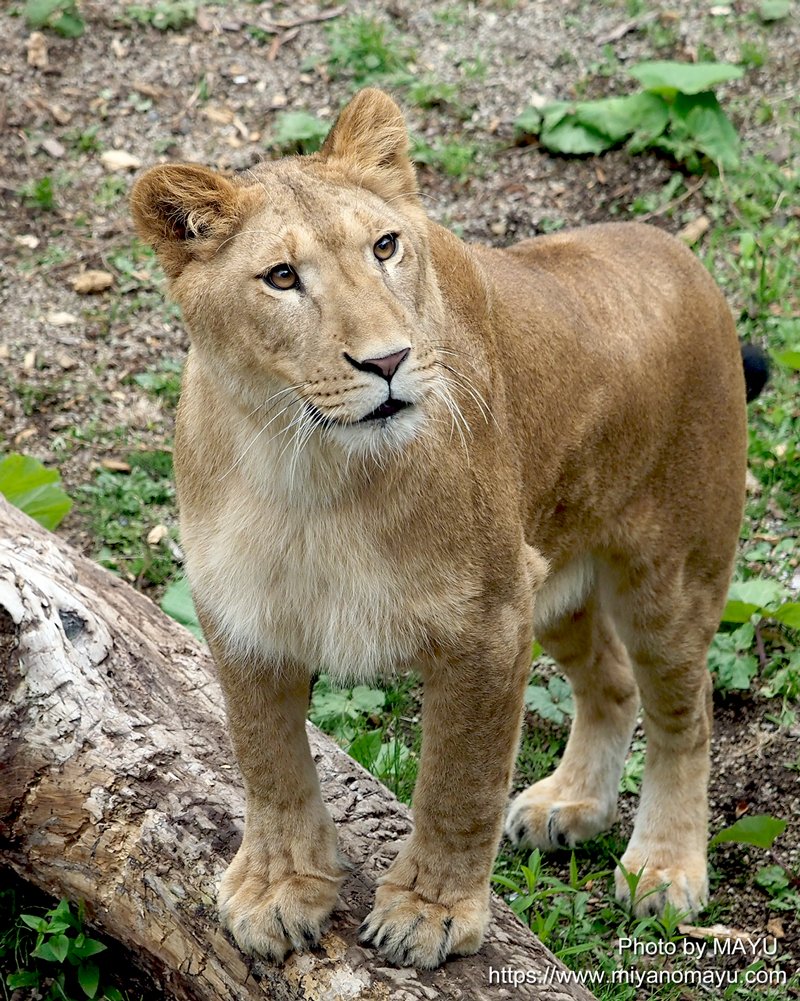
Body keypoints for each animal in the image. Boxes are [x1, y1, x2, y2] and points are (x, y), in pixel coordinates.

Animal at [130, 88, 756, 968]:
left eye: (386, 246)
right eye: (282, 277)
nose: (388, 362)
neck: (310, 470)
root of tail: (676, 252)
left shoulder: (487, 626)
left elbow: (458, 781)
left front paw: (431, 912)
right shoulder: (244, 617)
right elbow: (267, 761)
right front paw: (279, 889)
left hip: (667, 575)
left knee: (684, 711)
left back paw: (665, 868)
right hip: (553, 578)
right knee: (611, 679)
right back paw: (571, 804)